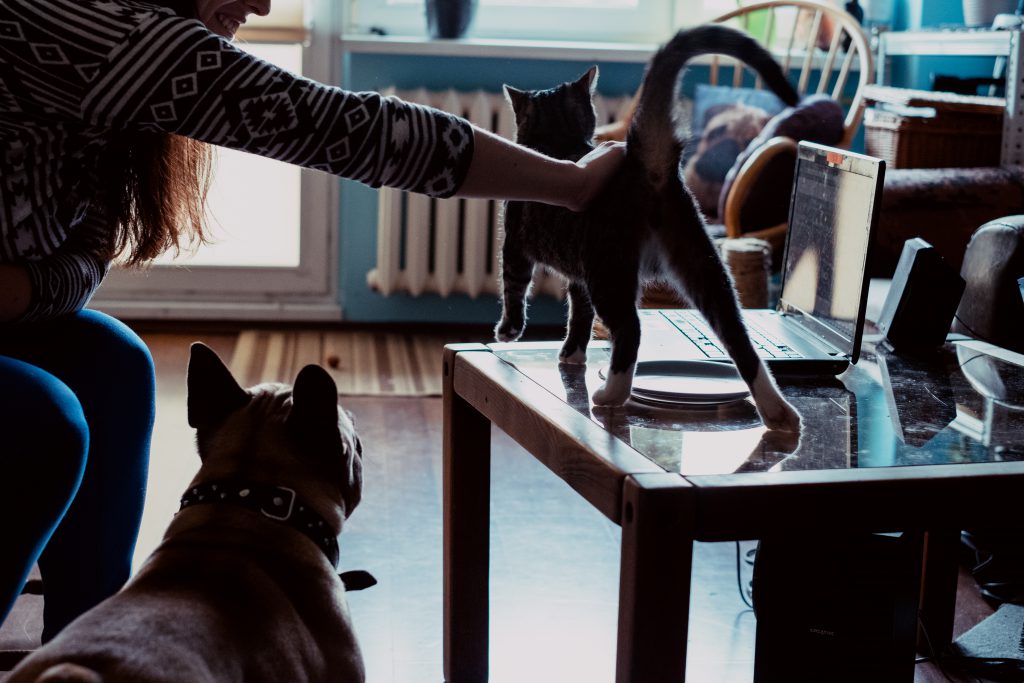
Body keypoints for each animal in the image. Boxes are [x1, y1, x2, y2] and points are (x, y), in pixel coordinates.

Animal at [495, 28, 798, 432]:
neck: (557, 141)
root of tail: (648, 164)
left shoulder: (516, 244)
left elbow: (515, 287)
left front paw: (509, 331)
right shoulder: (578, 275)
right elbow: (579, 315)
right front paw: (572, 355)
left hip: (608, 268)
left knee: (631, 330)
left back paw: (611, 394)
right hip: (701, 262)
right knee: (738, 337)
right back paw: (779, 412)